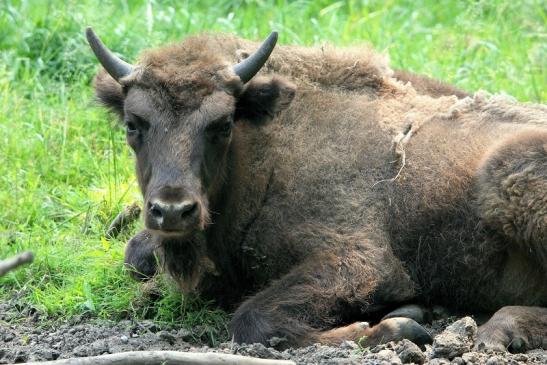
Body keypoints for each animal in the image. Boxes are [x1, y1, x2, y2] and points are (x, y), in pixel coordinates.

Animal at [86, 29, 547, 352]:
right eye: (134, 124)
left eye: (222, 124)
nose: (172, 210)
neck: (266, 149)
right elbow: (136, 256)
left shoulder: (361, 261)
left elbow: (252, 318)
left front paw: (400, 326)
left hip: (503, 174)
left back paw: (497, 329)